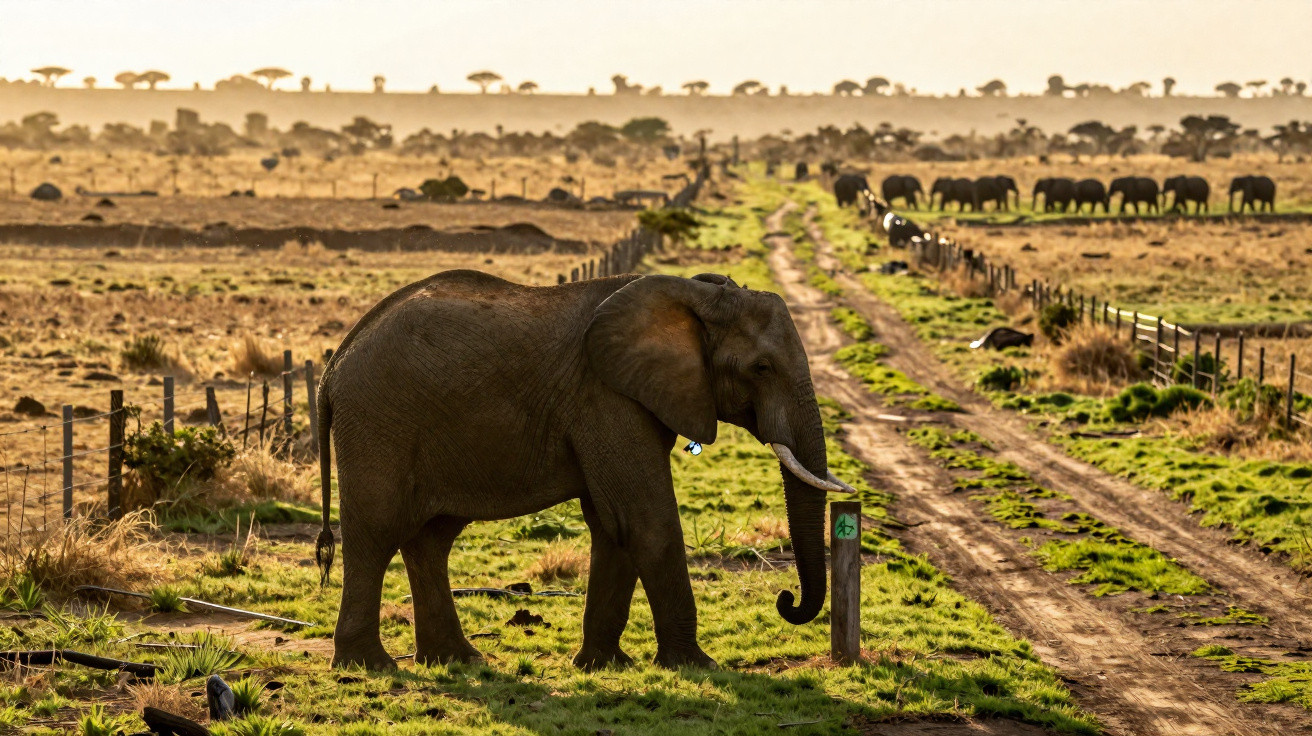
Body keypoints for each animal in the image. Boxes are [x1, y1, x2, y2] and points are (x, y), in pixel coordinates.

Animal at [315, 270, 853, 671]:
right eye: (761, 368)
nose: (786, 599)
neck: (695, 293)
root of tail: (333, 365)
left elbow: (613, 525)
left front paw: (604, 665)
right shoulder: (606, 398)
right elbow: (645, 520)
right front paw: (698, 667)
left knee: (430, 540)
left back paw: (458, 660)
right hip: (379, 422)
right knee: (376, 533)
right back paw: (369, 666)